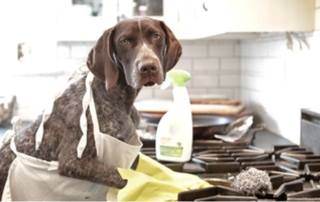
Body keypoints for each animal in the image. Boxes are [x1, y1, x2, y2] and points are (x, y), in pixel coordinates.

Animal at [0, 17, 181, 199]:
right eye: (124, 41)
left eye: (157, 36)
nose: (148, 67)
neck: (118, 96)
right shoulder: (75, 162)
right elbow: (122, 176)